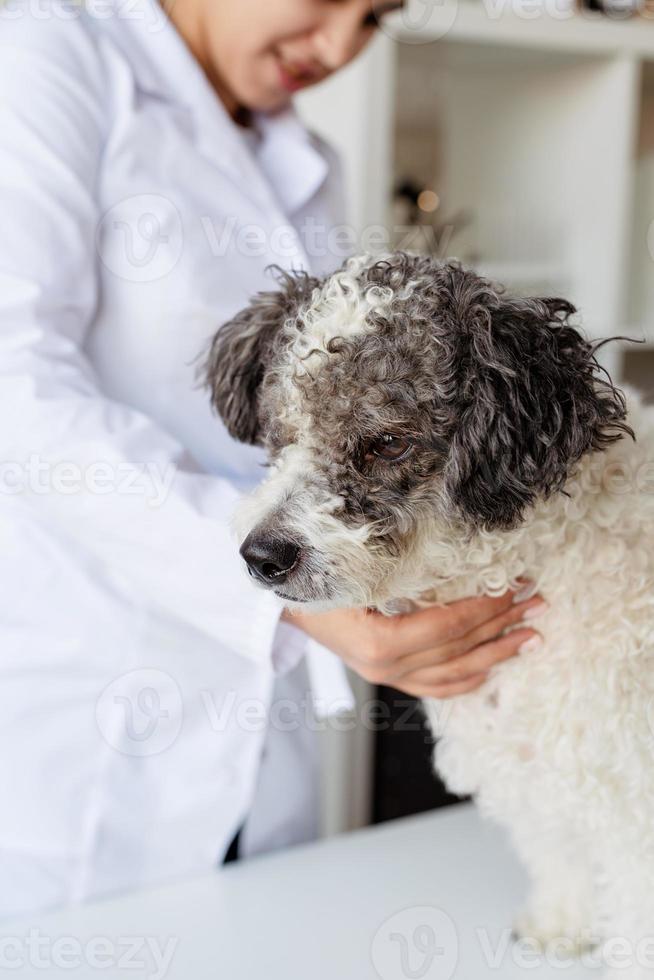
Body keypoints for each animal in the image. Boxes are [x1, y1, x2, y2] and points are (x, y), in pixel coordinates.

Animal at [204, 251, 654, 972]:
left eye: (387, 444)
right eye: (283, 433)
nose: (262, 556)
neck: (539, 561)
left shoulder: (633, 802)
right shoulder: (546, 776)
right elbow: (563, 858)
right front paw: (561, 923)